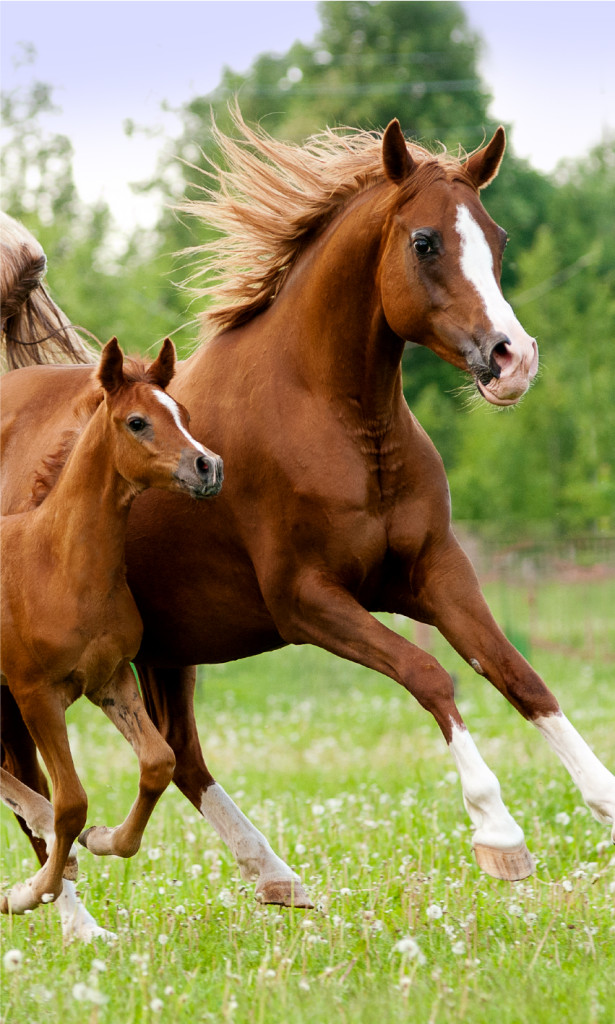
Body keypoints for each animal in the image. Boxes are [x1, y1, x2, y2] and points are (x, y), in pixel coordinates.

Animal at [0, 337, 223, 928]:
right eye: (137, 422)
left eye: (182, 413)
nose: (209, 466)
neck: (57, 563)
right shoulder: (35, 694)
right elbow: (71, 802)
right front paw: (33, 891)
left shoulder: (111, 681)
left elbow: (158, 762)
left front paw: (103, 840)